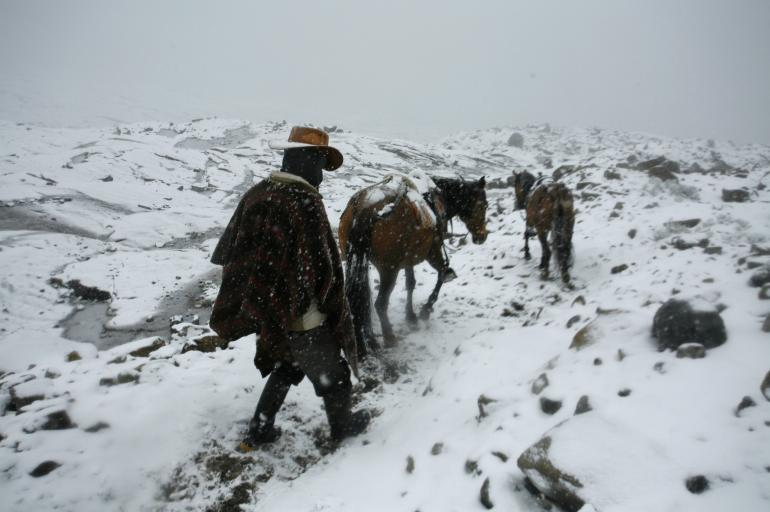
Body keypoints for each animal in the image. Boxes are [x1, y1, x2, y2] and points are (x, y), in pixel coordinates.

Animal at [340, 173, 486, 356]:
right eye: (484, 205)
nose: (483, 236)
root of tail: (367, 208)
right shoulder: (433, 251)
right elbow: (442, 273)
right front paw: (426, 310)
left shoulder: (409, 257)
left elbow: (411, 283)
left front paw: (411, 316)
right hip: (389, 270)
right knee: (380, 304)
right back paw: (389, 337)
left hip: (354, 260)